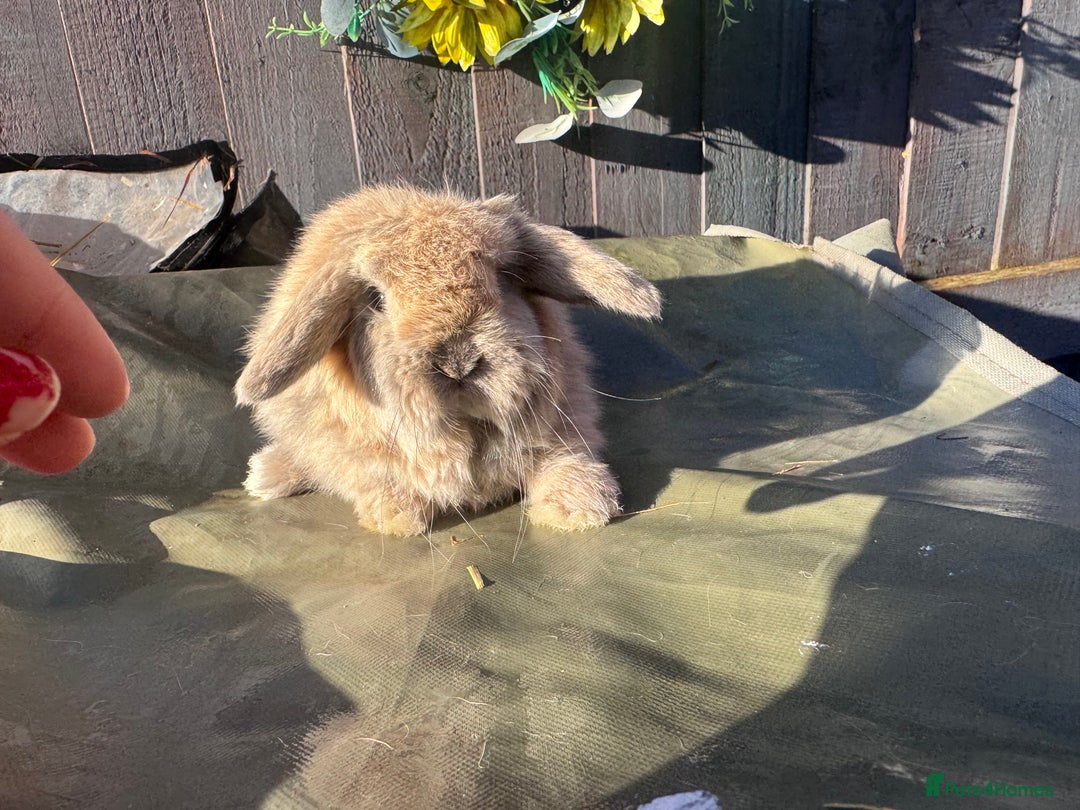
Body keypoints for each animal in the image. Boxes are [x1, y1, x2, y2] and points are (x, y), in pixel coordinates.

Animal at [234, 185, 661, 536]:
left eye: (502, 277)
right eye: (375, 298)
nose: (458, 364)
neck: (467, 430)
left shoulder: (563, 426)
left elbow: (564, 459)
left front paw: (579, 509)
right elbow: (377, 476)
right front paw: (395, 515)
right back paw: (265, 474)